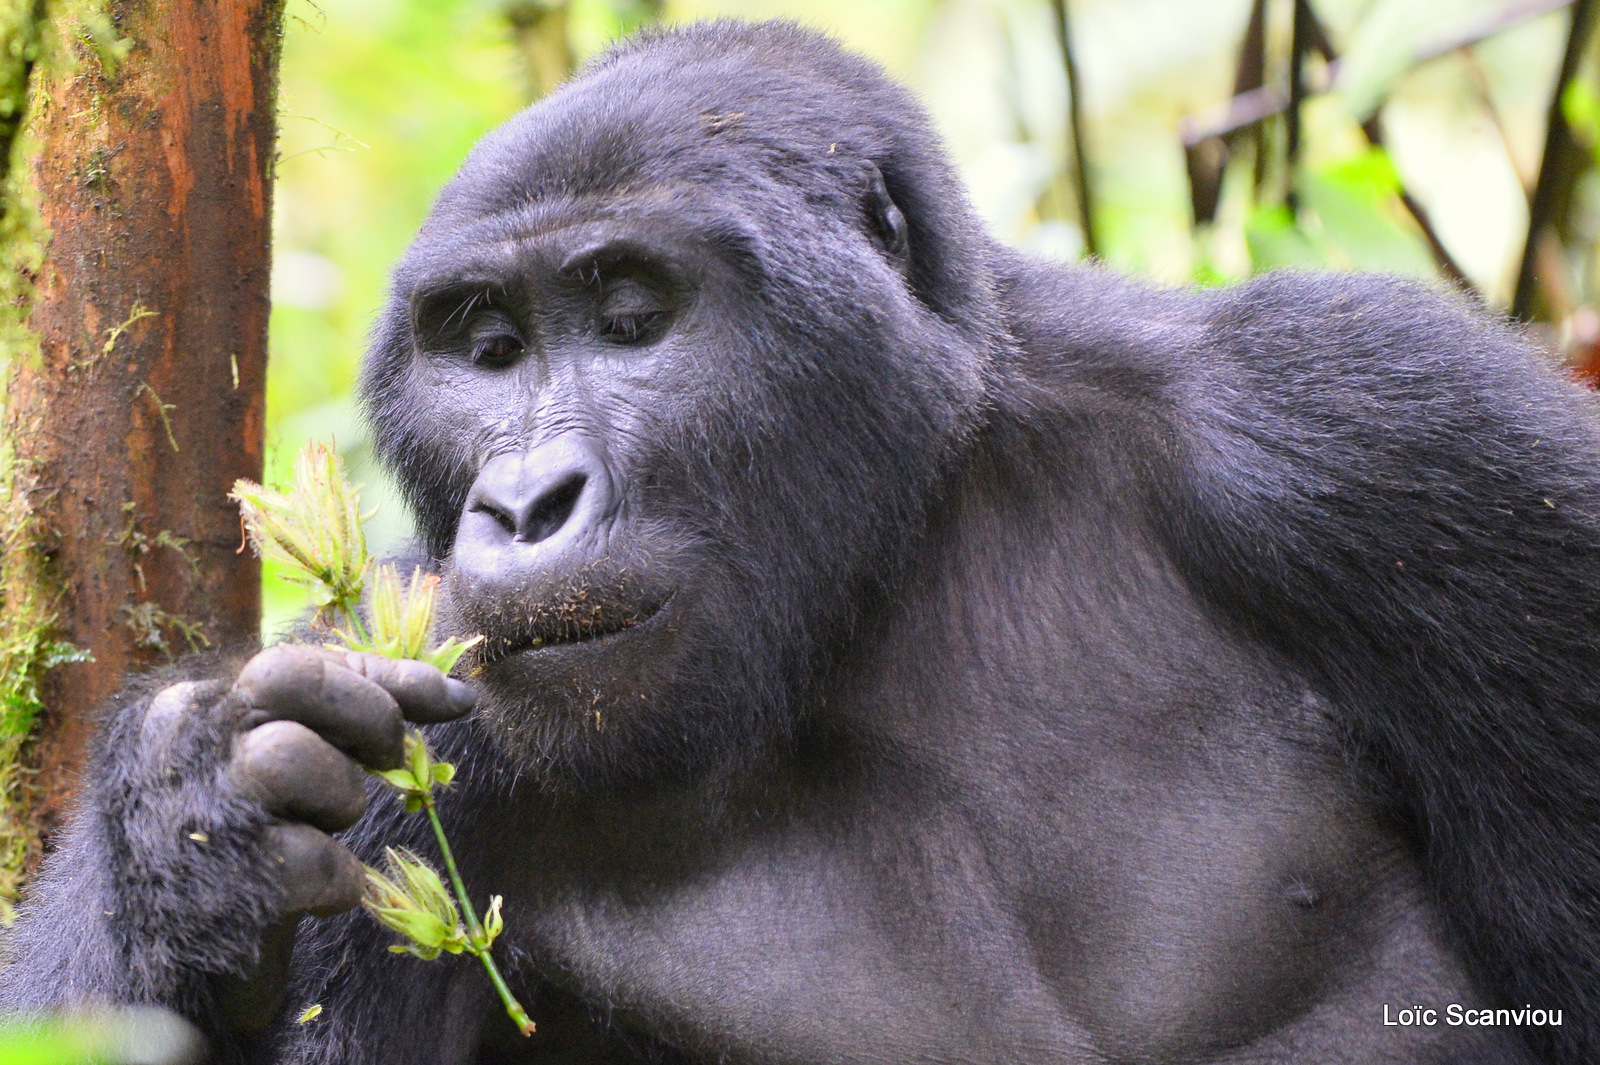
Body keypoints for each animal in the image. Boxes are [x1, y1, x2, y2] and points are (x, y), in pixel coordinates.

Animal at [3, 16, 1600, 1061]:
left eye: (632, 317)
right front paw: (190, 820)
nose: (523, 506)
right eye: (490, 348)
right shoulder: (403, 665)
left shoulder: (1380, 433)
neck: (898, 564)